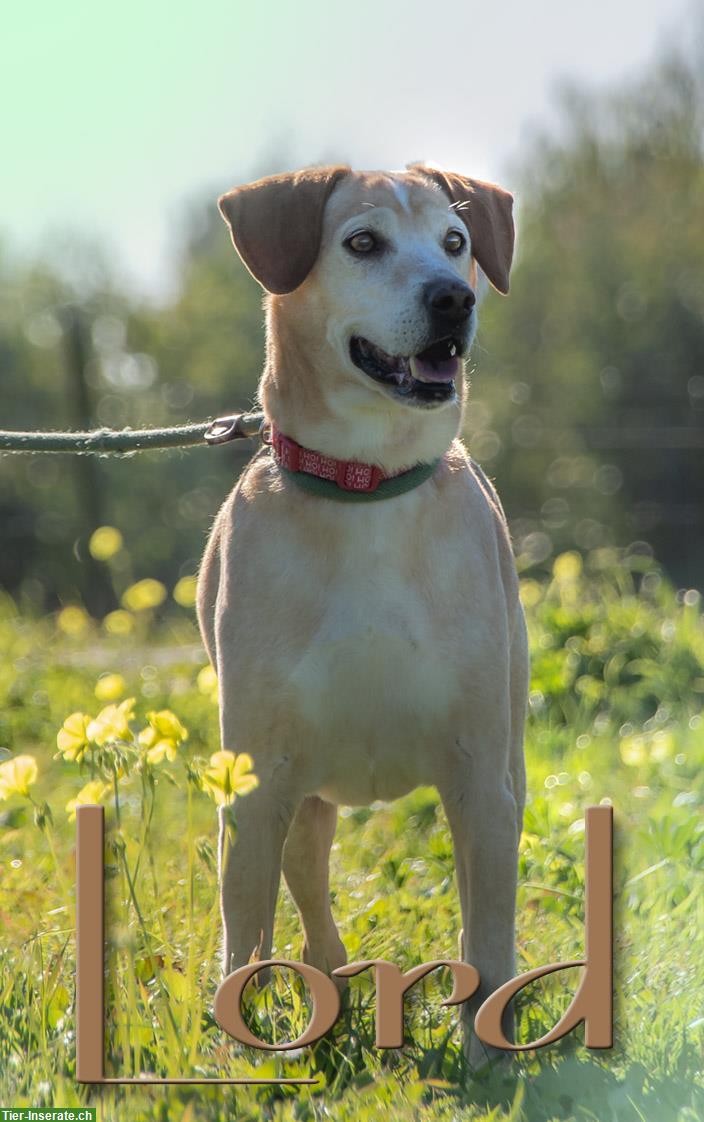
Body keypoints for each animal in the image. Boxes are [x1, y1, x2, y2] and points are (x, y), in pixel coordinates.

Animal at [196, 162, 529, 1063]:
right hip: (302, 802)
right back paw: (326, 992)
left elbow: (488, 935)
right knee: (307, 894)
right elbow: (245, 935)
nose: (454, 297)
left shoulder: (483, 775)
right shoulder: (256, 786)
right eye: (363, 242)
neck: (369, 485)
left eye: (455, 242)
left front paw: (491, 1063)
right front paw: (243, 1059)